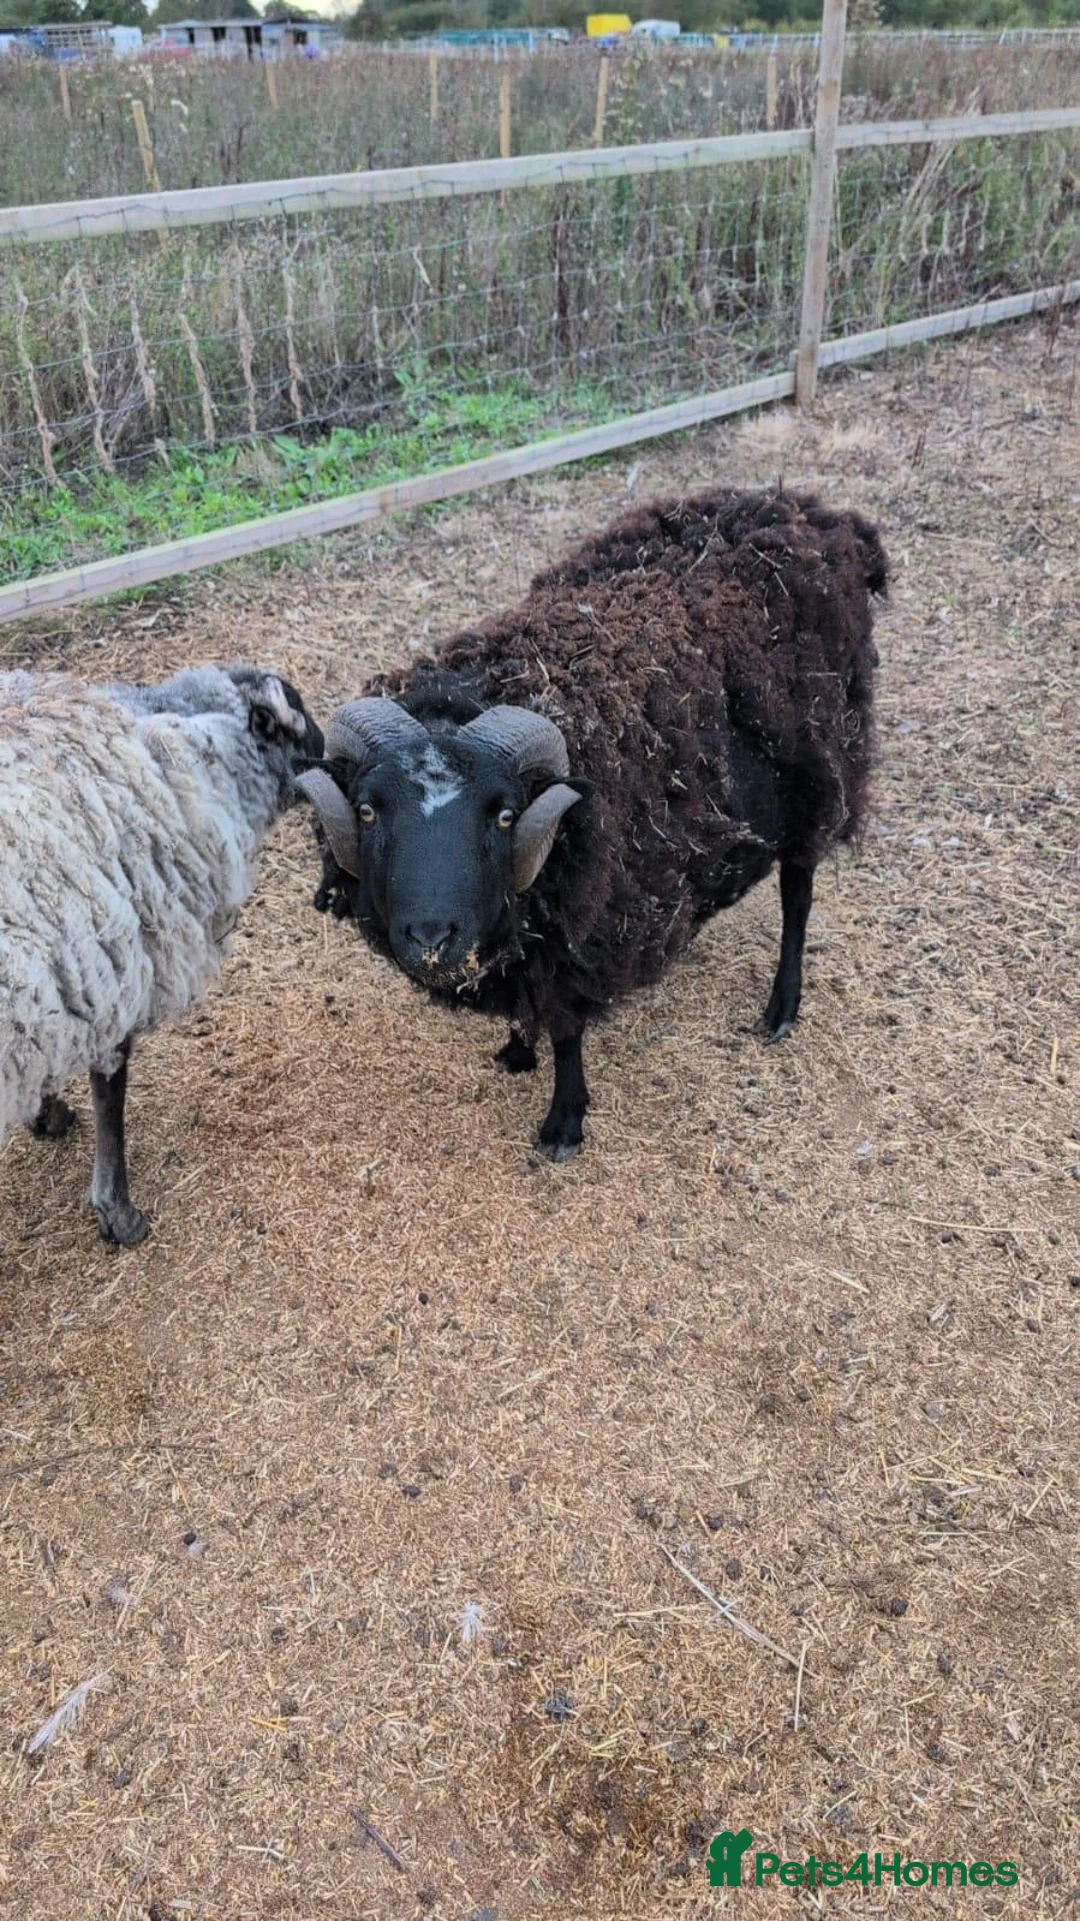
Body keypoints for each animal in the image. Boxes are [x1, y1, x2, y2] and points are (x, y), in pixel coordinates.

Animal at [0, 663, 323, 1244]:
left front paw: (46, 1112)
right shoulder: (111, 959)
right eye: (298, 714)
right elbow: (111, 1089)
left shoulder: (66, 971)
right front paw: (119, 1211)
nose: (330, 751)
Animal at [300, 487, 888, 1159]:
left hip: (820, 781)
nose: (430, 939)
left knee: (797, 895)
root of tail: (818, 512)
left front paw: (564, 1121)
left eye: (505, 816)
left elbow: (565, 1027)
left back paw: (782, 1007)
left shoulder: (578, 933)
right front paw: (515, 1048)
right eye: (368, 809)